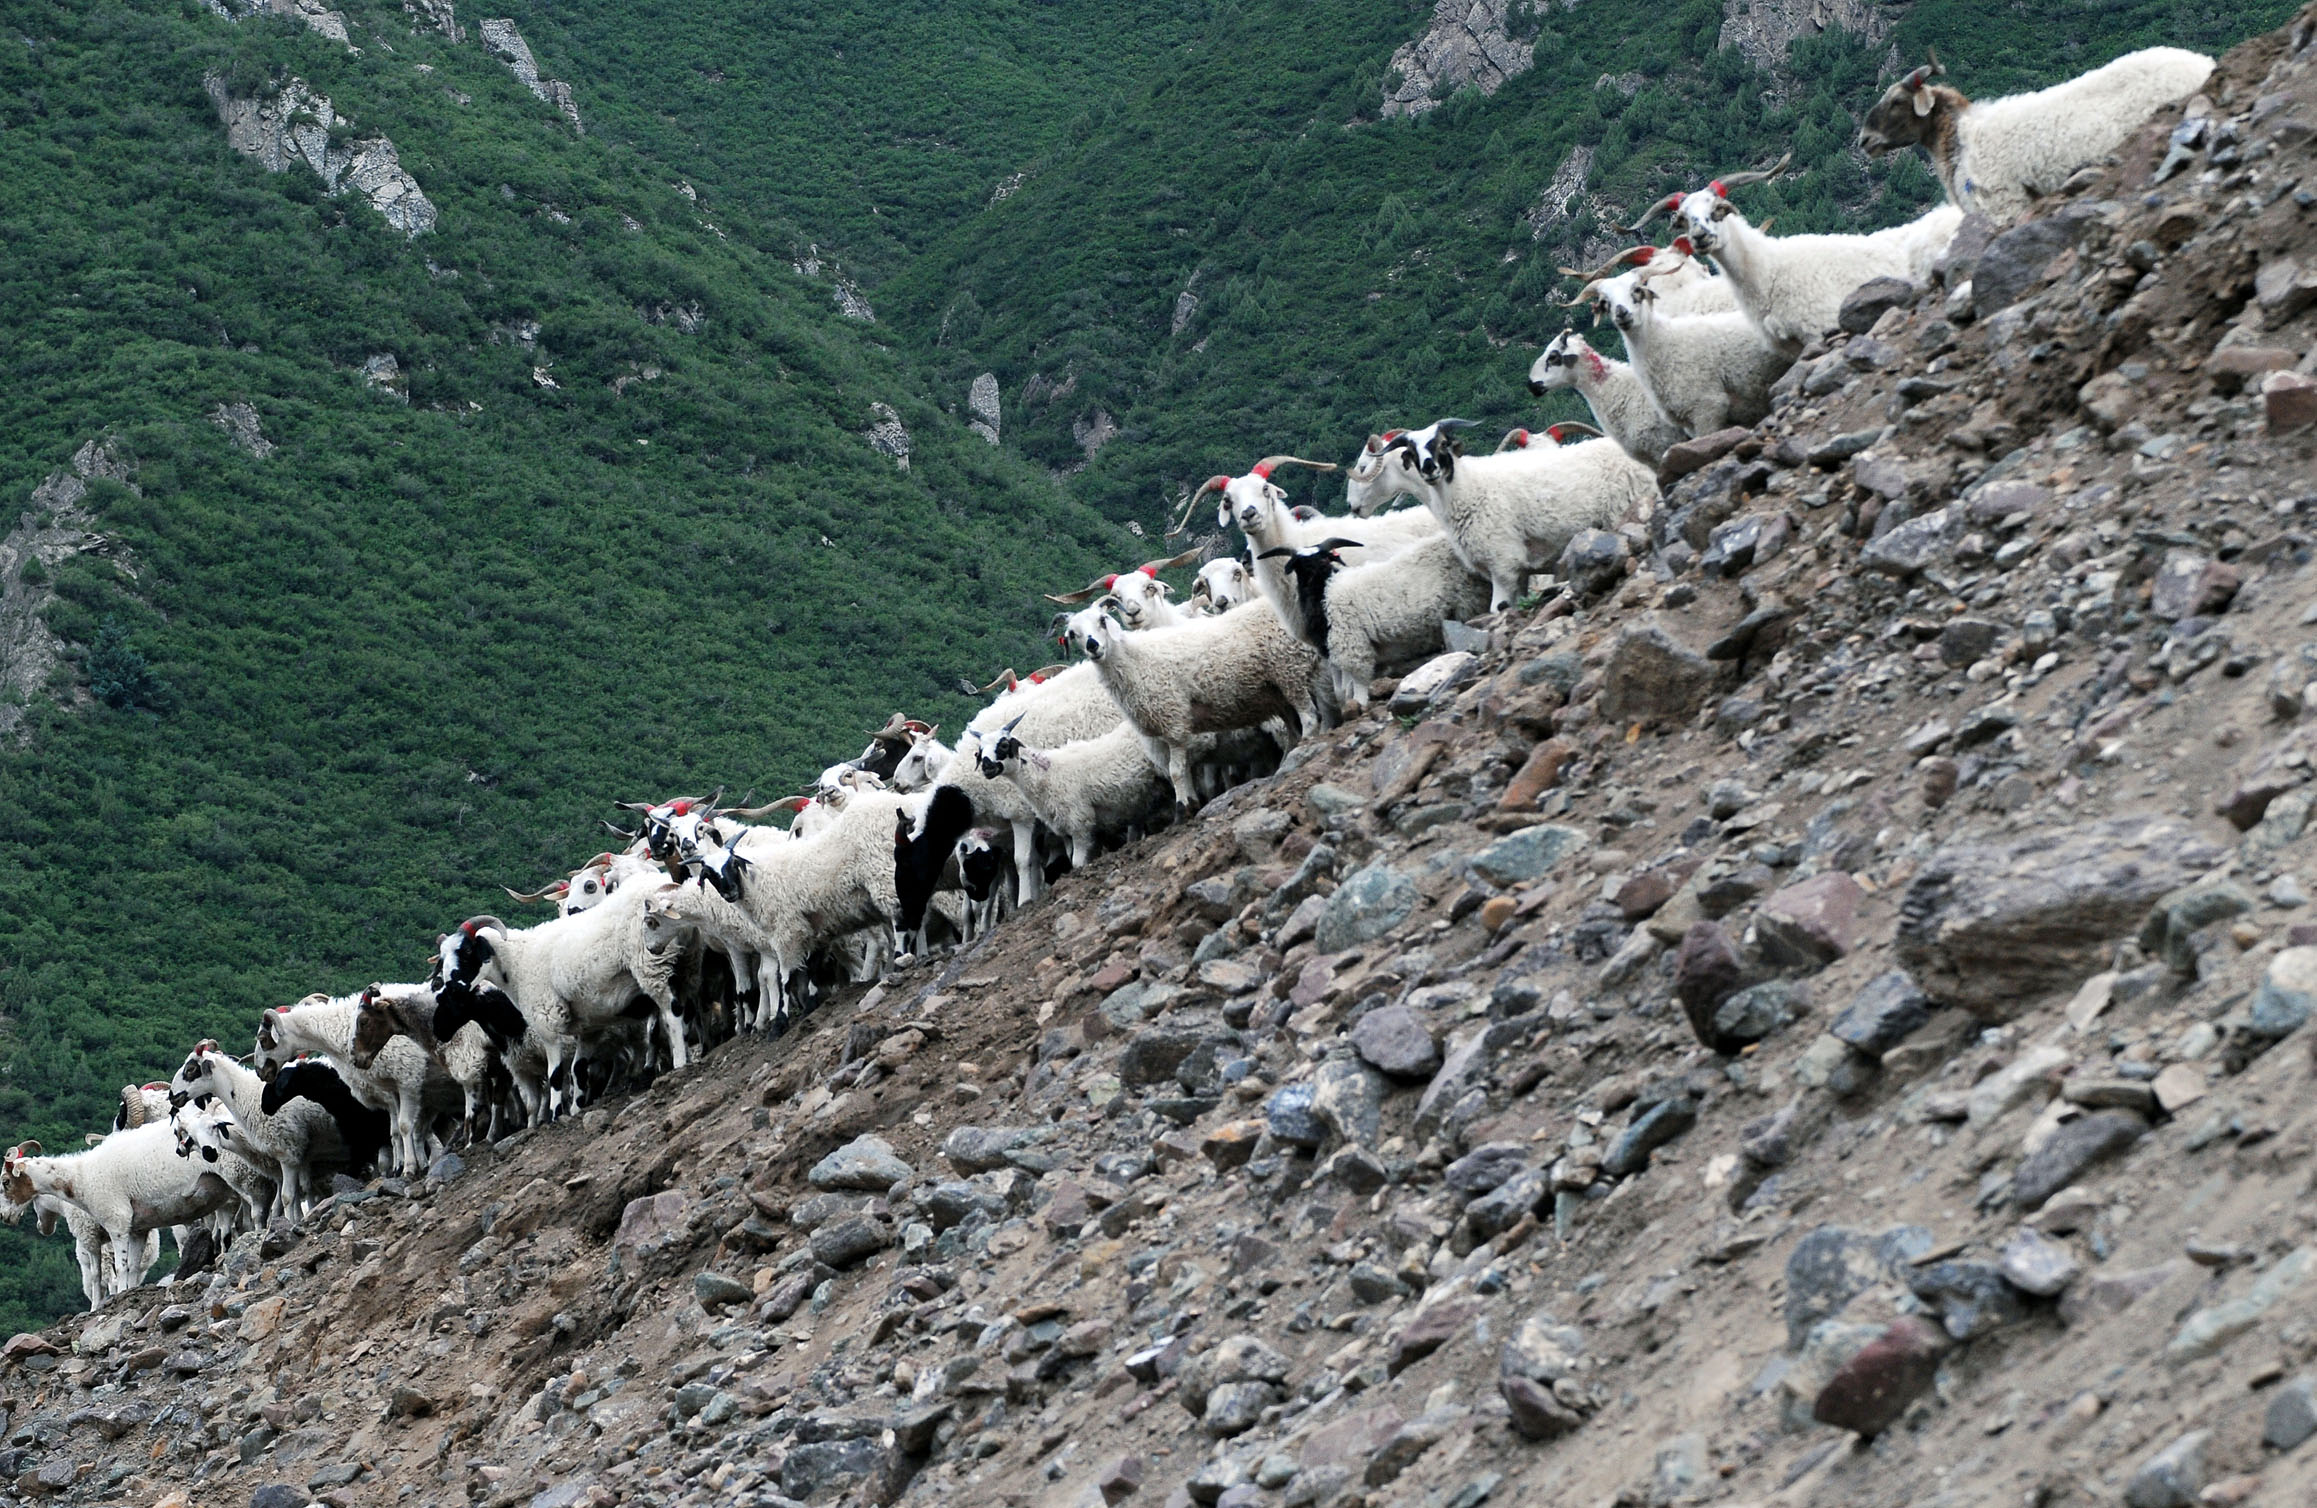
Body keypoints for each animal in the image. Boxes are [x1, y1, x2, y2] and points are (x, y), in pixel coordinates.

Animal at [1061, 593, 1325, 815]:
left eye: (1102, 620)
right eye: (1073, 633)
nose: (1093, 646)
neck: (1135, 661)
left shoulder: (1174, 723)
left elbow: (1177, 771)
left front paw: (1183, 808)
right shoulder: (1162, 734)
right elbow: (1181, 770)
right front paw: (1191, 802)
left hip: (1289, 670)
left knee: (1310, 718)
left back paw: (1302, 750)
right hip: (1279, 692)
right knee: (1293, 730)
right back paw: (1285, 763)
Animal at [1260, 532, 1492, 708]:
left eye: (1325, 558)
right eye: (1299, 565)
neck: (1324, 590)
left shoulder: (1352, 645)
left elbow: (1358, 683)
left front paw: (1360, 704)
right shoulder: (1336, 651)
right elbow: (1342, 690)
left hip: (1468, 601)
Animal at [1362, 419, 1658, 611]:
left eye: (1443, 443)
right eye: (1411, 452)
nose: (1429, 468)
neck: (1467, 489)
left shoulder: (1503, 561)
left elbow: (1499, 609)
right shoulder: (1520, 569)